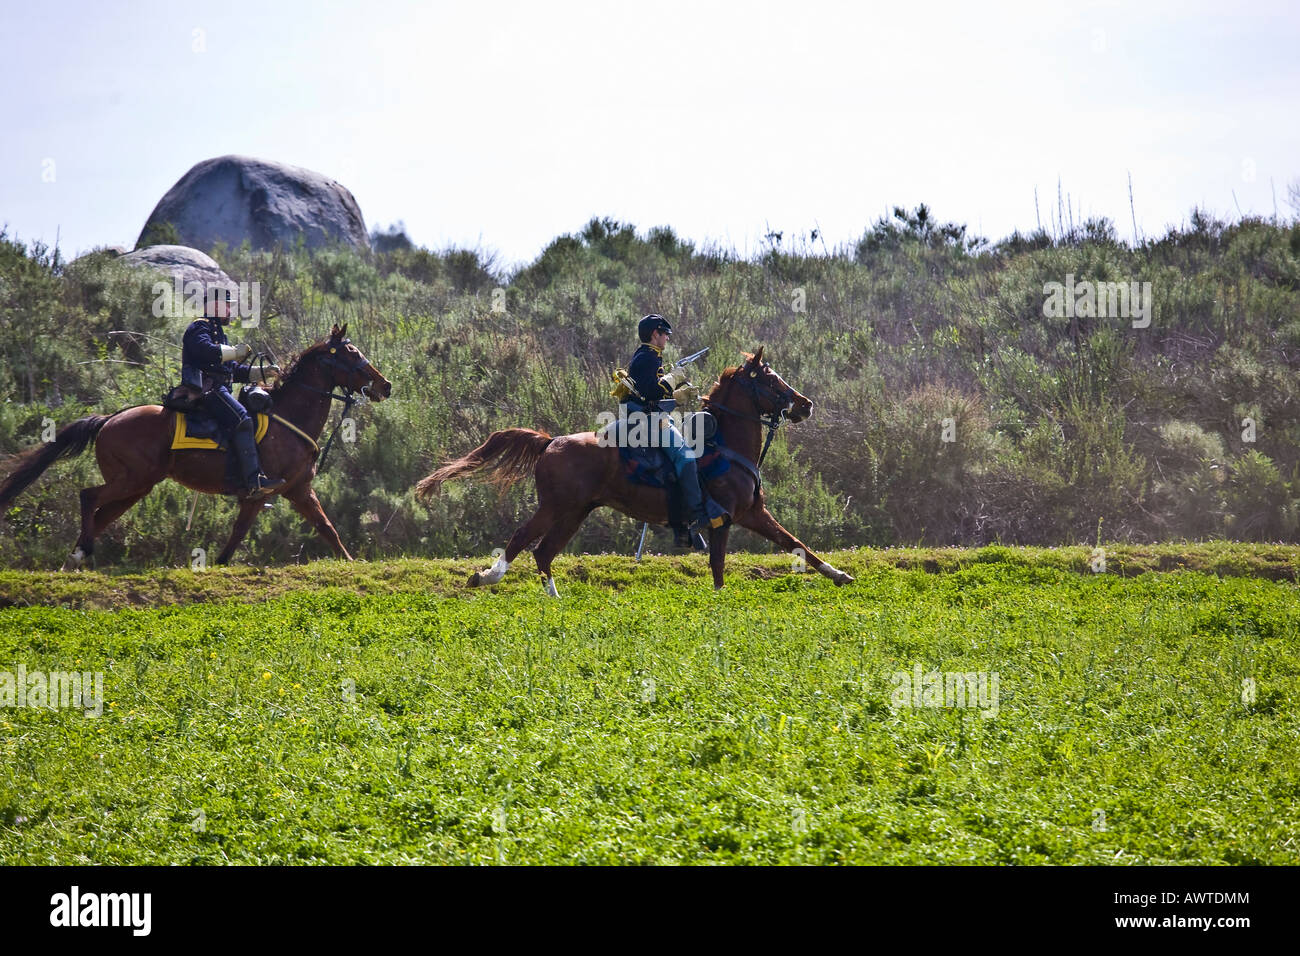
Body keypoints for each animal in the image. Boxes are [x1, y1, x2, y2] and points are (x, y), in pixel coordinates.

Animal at [0, 323, 392, 569]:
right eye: (351, 352)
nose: (384, 385)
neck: (287, 417)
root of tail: (110, 419)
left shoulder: (297, 490)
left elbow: (325, 527)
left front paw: (350, 561)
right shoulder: (264, 491)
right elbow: (242, 532)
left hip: (136, 487)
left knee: (99, 515)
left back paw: (76, 558)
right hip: (130, 480)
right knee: (88, 497)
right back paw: (81, 553)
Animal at [415, 347, 853, 595]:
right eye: (771, 380)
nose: (805, 404)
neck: (725, 445)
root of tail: (550, 442)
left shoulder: (753, 514)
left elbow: (796, 544)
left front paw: (840, 575)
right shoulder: (725, 520)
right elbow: (719, 568)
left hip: (575, 512)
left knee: (543, 552)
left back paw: (555, 600)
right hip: (556, 507)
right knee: (523, 540)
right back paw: (487, 578)